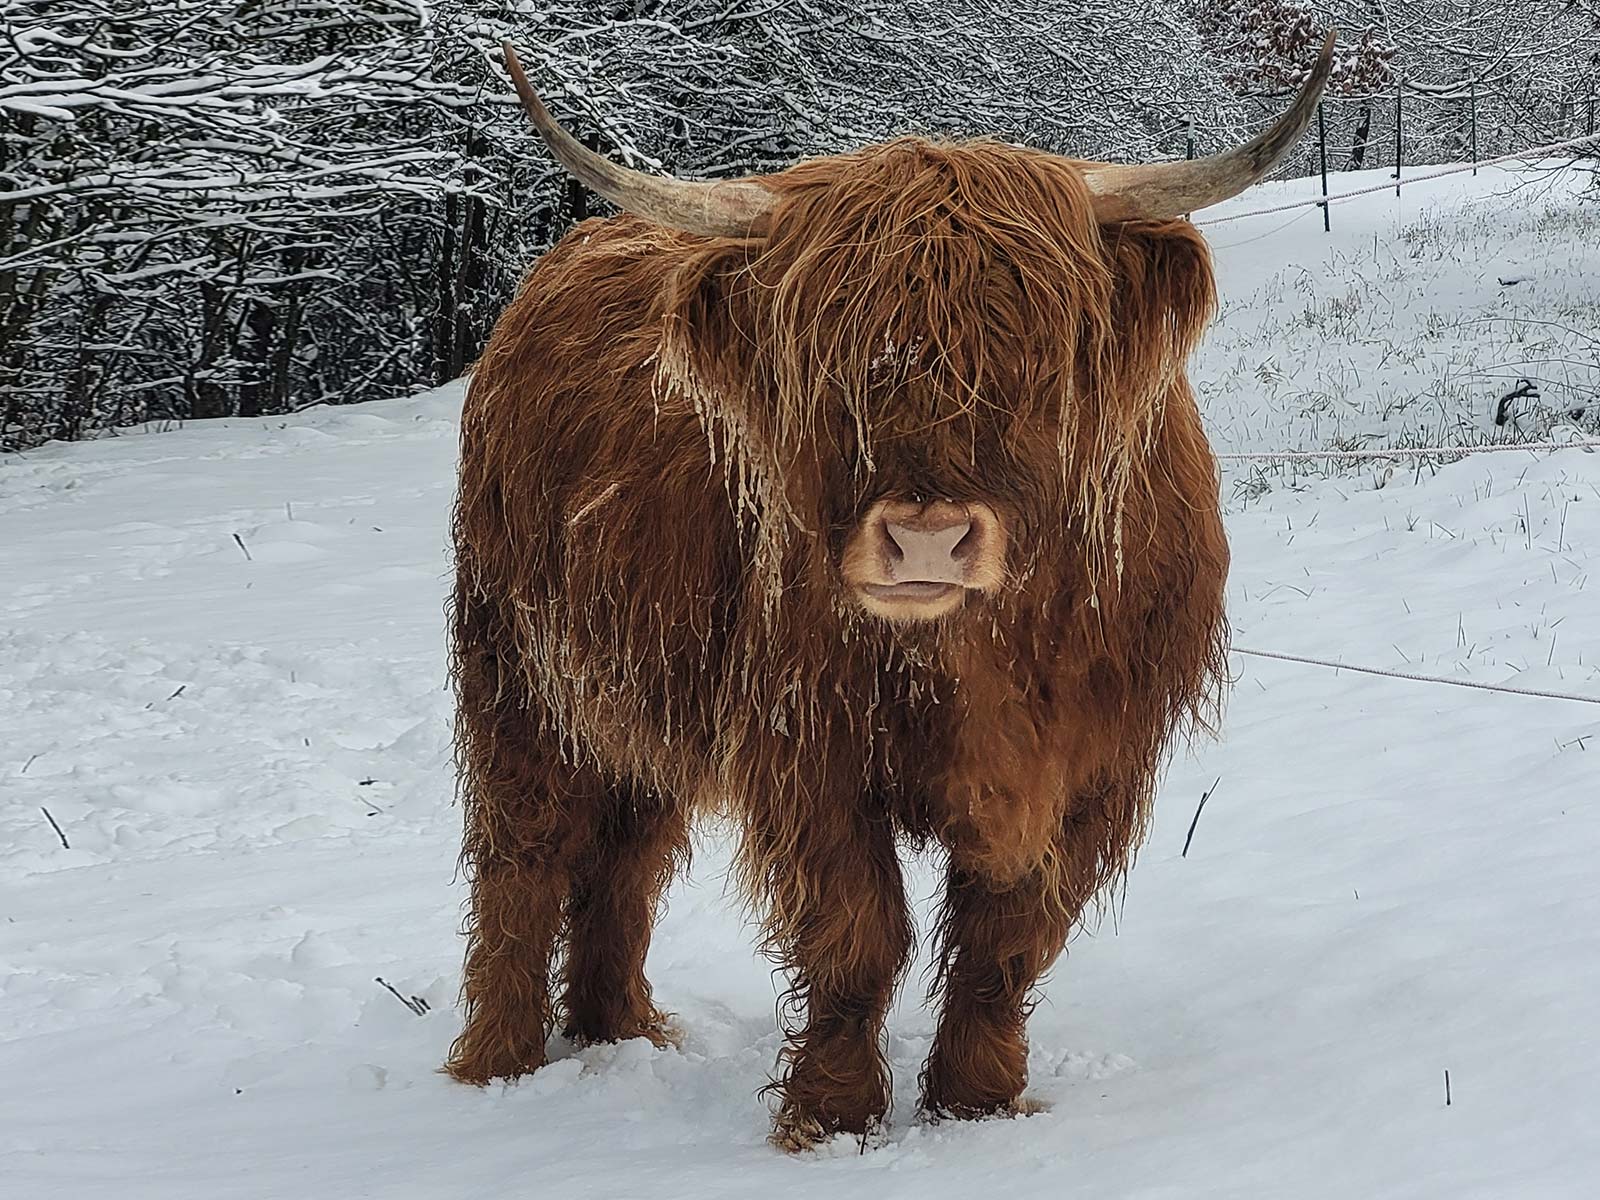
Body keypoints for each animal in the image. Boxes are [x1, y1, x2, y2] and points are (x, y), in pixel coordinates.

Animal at [444, 37, 1334, 1149]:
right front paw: (833, 1118)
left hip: (636, 685)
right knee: (522, 855)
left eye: (1036, 359)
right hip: (516, 671)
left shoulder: (1096, 761)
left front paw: (978, 1102)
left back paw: (619, 1031)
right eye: (832, 364)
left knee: (625, 853)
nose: (926, 540)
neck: (978, 660)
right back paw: (500, 1065)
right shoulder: (807, 746)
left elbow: (1008, 940)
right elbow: (854, 934)